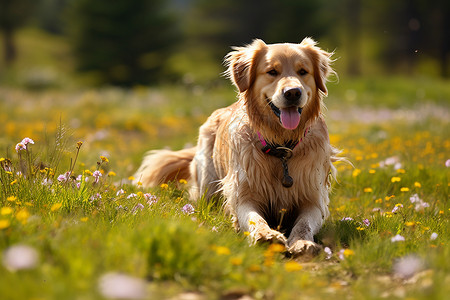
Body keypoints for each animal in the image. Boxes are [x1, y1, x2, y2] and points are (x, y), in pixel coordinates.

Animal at [135, 38, 340, 255]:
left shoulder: (314, 199)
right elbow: (254, 218)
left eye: (303, 71)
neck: (282, 147)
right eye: (272, 72)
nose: (293, 92)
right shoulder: (243, 194)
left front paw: (302, 242)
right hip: (208, 184)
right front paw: (265, 235)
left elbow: (304, 224)